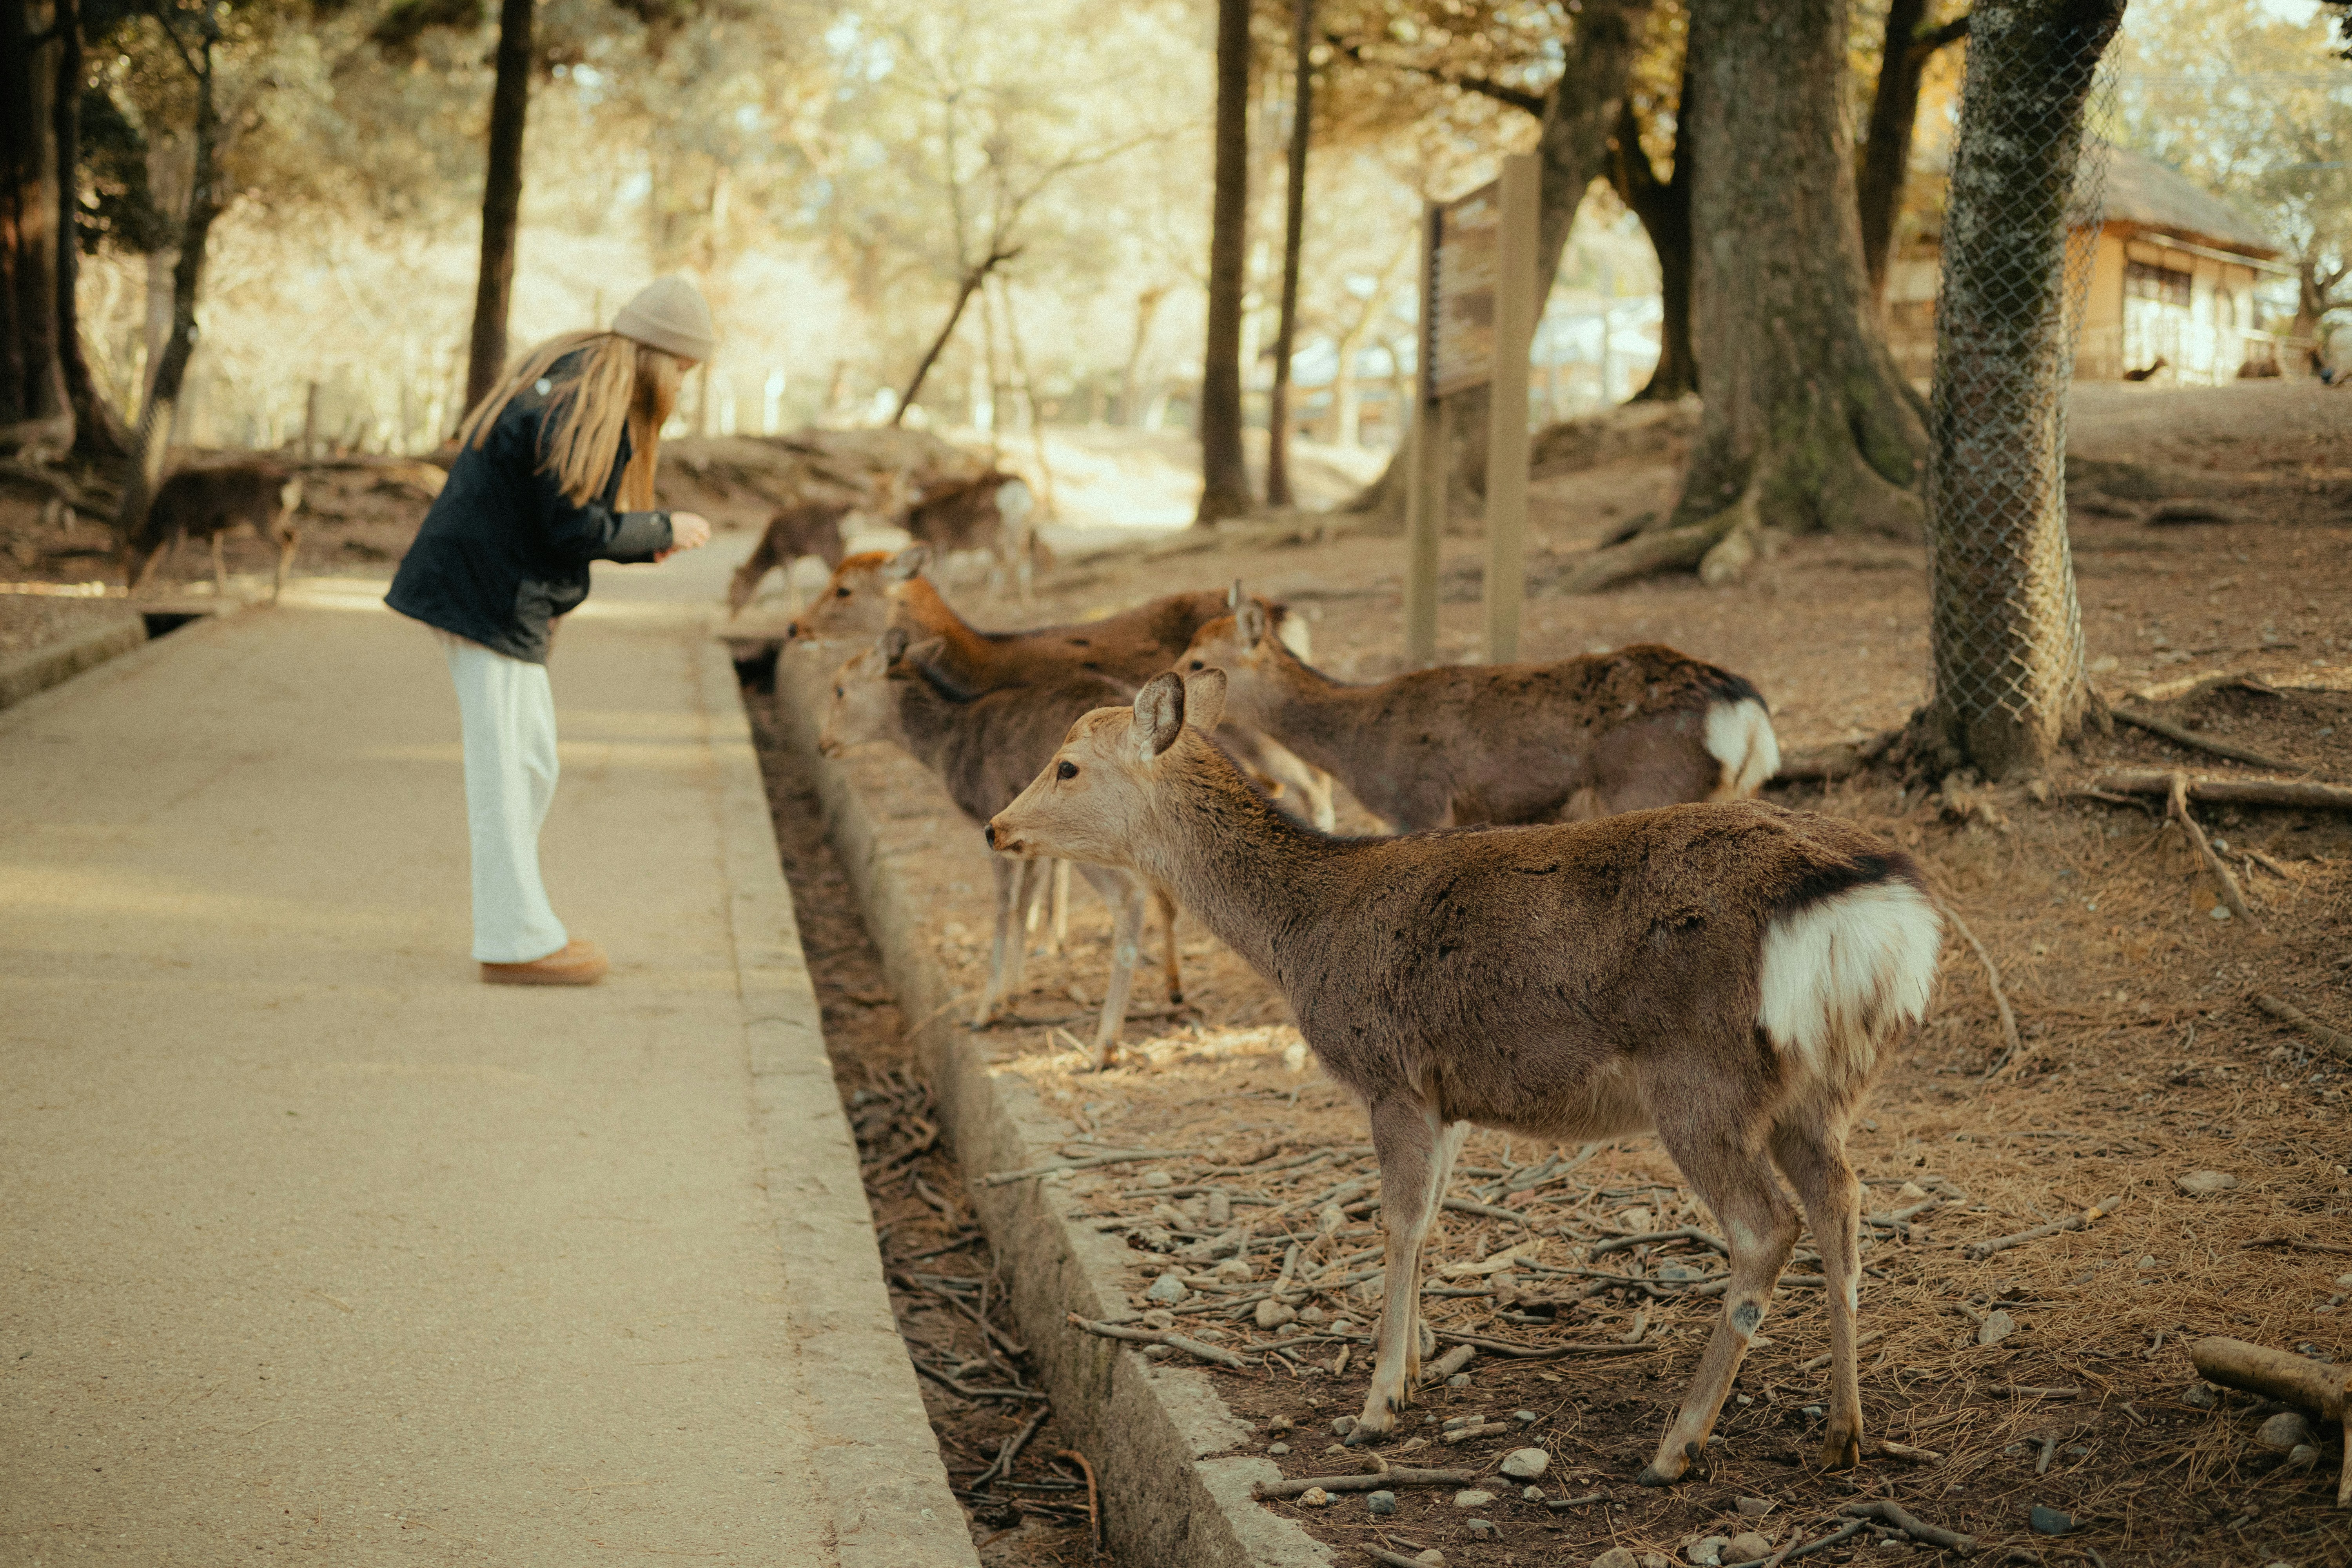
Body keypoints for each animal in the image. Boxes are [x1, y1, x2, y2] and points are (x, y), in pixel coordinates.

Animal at [126, 462, 304, 604]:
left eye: (128, 563)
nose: (129, 588)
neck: (159, 520)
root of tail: (289, 483)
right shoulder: (210, 531)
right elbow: (216, 555)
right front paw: (221, 589)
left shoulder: (176, 526)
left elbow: (171, 559)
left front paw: (161, 592)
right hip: (280, 518)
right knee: (294, 535)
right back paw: (278, 590)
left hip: (262, 517)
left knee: (286, 543)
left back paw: (275, 595)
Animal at [788, 547, 1338, 832]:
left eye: (843, 589)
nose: (794, 626)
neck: (981, 665)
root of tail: (1287, 619)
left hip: (1262, 728)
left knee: (1314, 783)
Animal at [820, 627, 1183, 1068]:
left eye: (840, 688)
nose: (823, 743)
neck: (943, 750)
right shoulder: (1027, 839)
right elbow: (1025, 903)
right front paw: (1010, 994)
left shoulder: (995, 819)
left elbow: (1004, 908)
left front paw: (984, 1010)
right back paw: (1172, 988)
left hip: (1092, 834)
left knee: (1130, 897)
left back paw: (1105, 1044)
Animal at [984, 669, 1942, 1482]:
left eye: (1066, 765)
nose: (996, 827)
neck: (1301, 935)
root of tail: (1876, 917)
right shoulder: (1448, 1098)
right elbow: (1435, 1216)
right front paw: (1413, 1372)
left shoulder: (1389, 1071)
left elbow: (1398, 1221)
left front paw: (1376, 1405)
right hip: (1823, 1086)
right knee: (1843, 1202)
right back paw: (1843, 1434)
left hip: (1702, 1079)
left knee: (1765, 1224)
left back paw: (1676, 1445)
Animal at [1178, 585, 1779, 832]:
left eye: (1197, 660)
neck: (1359, 747)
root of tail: (1747, 713)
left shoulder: (1420, 802)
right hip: (1738, 791)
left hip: (1651, 786)